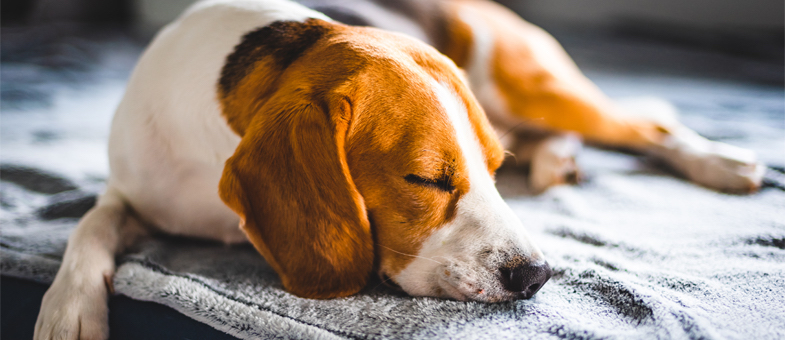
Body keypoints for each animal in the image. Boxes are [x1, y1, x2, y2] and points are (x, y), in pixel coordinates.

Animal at [33, 0, 764, 338]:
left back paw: (721, 161)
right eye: (426, 179)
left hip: (529, 83)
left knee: (649, 124)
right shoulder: (133, 187)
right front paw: (69, 309)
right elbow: (90, 226)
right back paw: (559, 160)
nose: (536, 275)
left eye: (490, 170)